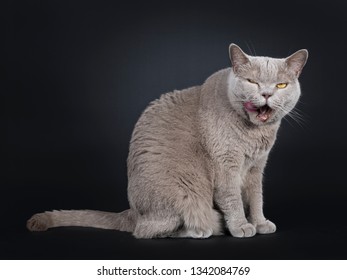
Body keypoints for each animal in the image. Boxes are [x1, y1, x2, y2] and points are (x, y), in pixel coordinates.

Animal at [27, 43, 310, 238]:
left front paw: (260, 222)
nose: (266, 93)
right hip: (182, 194)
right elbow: (233, 198)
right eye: (252, 81)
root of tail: (132, 212)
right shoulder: (226, 165)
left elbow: (256, 196)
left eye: (281, 85)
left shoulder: (256, 167)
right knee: (147, 230)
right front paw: (242, 226)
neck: (253, 134)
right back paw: (202, 230)